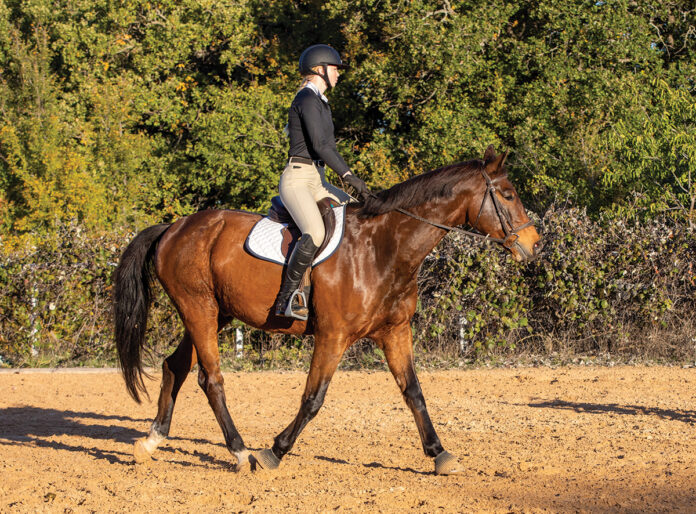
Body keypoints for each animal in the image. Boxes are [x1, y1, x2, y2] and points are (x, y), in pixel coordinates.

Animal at [113, 145, 542, 475]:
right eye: (507, 194)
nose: (534, 244)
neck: (384, 248)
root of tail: (173, 227)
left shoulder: (395, 332)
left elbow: (413, 392)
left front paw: (440, 455)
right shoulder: (333, 336)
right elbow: (313, 398)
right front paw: (275, 451)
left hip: (214, 313)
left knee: (175, 366)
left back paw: (151, 442)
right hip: (198, 307)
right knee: (211, 379)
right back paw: (240, 453)